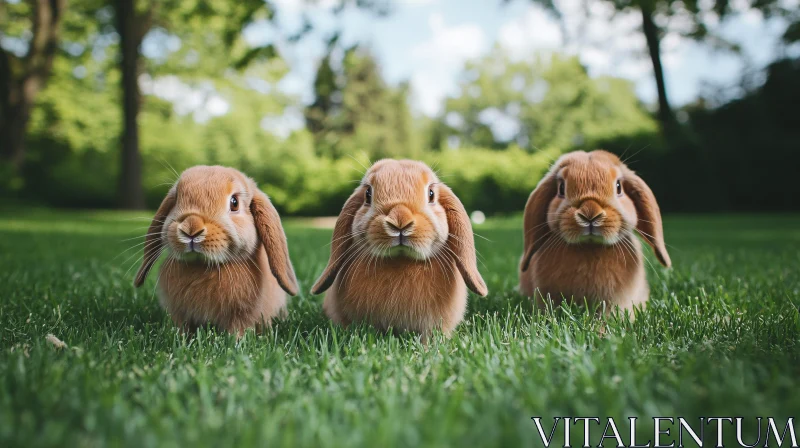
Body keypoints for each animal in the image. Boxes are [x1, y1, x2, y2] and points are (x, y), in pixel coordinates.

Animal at [133, 165, 298, 336]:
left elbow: (238, 329)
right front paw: (179, 336)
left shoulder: (243, 316)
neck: (202, 266)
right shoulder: (178, 313)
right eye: (177, 199)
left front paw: (235, 340)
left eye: (234, 203)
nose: (191, 226)